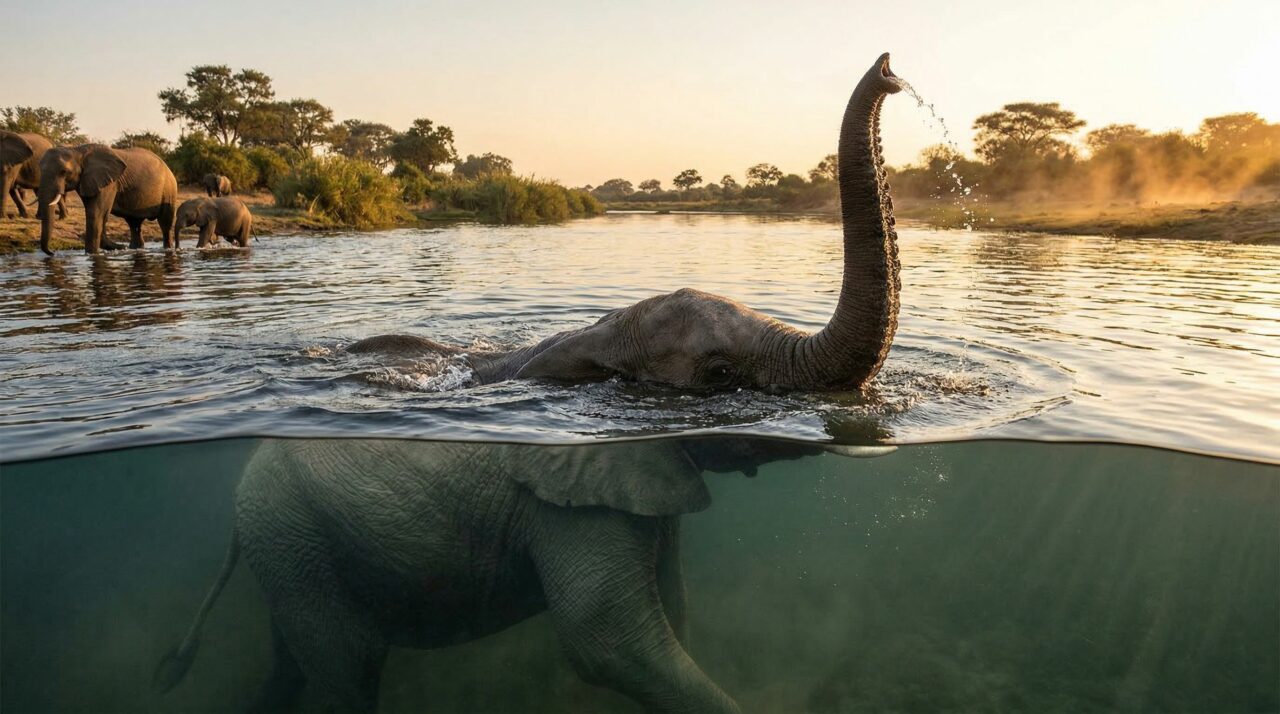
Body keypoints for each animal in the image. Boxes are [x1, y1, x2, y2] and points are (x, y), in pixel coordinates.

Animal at [36, 144, 178, 255]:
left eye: (64, 171)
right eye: (40, 170)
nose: (52, 253)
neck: (77, 150)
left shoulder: (109, 183)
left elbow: (97, 213)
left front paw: (92, 254)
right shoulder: (88, 180)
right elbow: (95, 212)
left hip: (169, 189)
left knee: (165, 223)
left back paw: (167, 249)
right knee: (134, 224)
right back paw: (134, 248)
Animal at [156, 437, 893, 712]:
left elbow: (672, 612)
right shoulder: (572, 495)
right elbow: (605, 642)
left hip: (291, 548)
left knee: (295, 666)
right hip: (294, 537)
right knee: (348, 668)